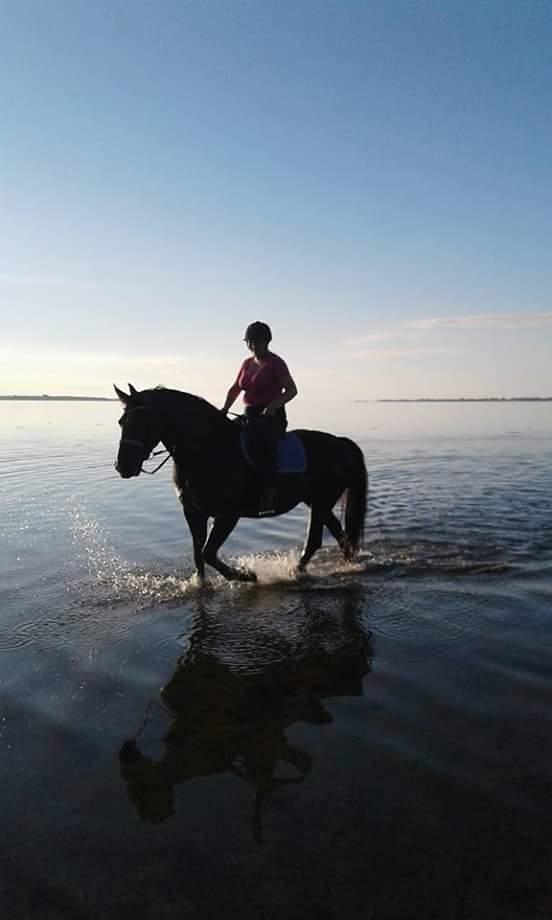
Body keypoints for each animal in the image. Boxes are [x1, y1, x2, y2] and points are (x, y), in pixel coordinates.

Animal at [114, 384, 366, 580]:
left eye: (144, 422)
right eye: (122, 421)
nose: (122, 466)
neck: (207, 450)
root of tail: (340, 443)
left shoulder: (228, 516)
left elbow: (208, 552)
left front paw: (245, 575)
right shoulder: (193, 512)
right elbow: (198, 554)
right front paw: (201, 584)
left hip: (321, 501)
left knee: (316, 540)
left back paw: (295, 573)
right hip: (316, 500)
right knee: (339, 535)